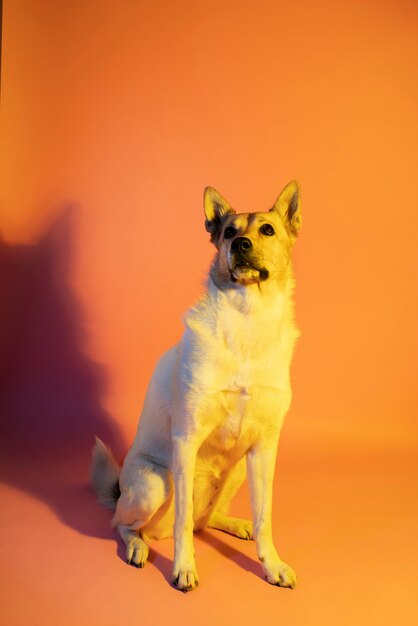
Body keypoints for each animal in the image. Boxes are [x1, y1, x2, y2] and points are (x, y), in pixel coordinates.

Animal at [90, 178, 300, 588]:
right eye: (229, 232)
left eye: (267, 230)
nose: (240, 244)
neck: (248, 319)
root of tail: (121, 489)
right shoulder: (186, 439)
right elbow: (183, 521)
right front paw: (184, 568)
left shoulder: (264, 449)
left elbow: (264, 517)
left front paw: (271, 564)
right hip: (157, 482)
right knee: (125, 524)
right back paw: (137, 547)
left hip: (238, 471)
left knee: (206, 520)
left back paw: (234, 523)